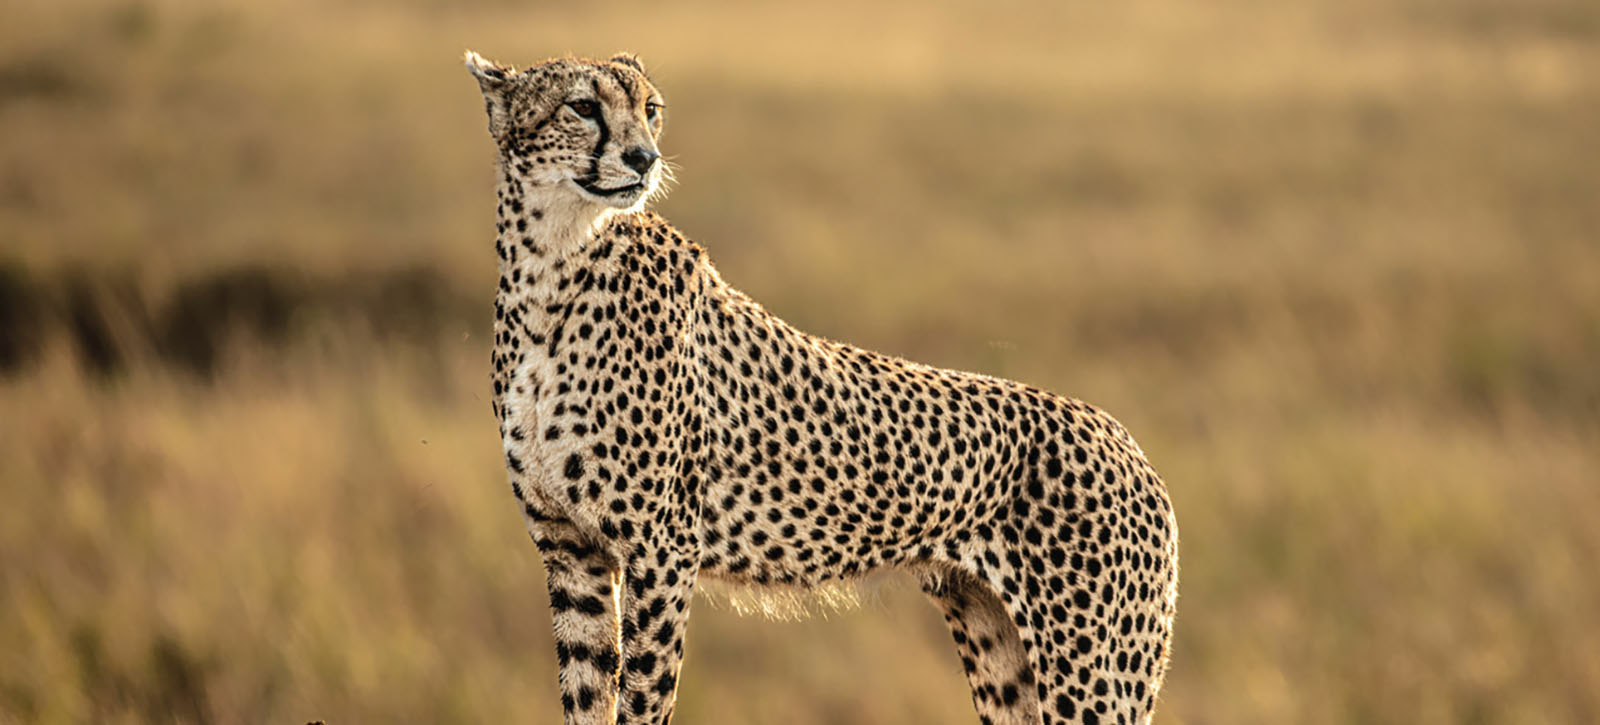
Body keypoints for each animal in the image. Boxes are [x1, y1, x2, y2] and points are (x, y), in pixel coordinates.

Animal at [465, 50, 1179, 725]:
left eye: (652, 109)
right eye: (582, 107)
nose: (644, 157)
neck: (551, 266)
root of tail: (1123, 439)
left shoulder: (662, 552)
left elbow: (644, 697)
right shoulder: (570, 552)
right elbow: (589, 693)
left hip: (1091, 676)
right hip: (998, 643)